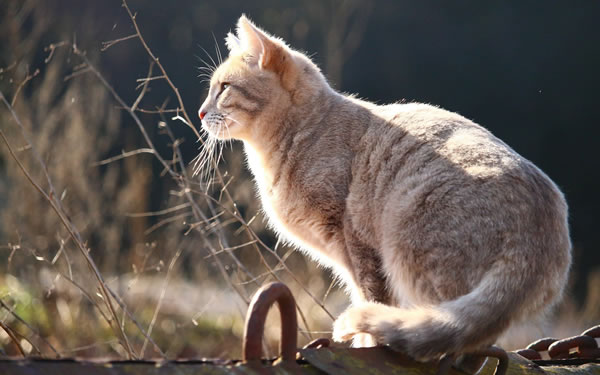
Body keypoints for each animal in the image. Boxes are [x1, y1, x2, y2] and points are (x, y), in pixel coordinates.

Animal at [198, 15, 572, 362]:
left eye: (224, 88)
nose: (201, 112)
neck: (302, 132)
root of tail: (542, 224)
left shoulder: (356, 245)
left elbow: (370, 297)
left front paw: (366, 344)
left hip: (414, 252)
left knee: (447, 329)